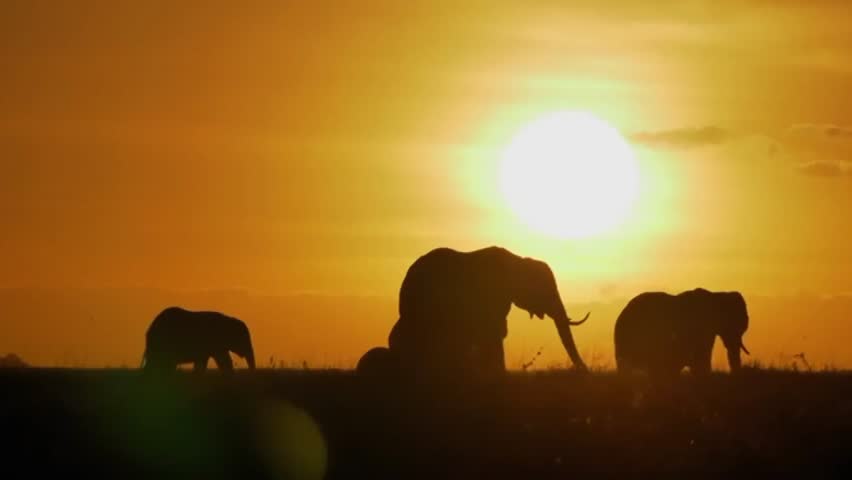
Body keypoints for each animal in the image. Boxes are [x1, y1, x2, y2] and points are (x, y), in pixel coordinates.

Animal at [357, 246, 590, 379]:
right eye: (546, 289)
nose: (585, 372)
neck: (517, 260)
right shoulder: (491, 293)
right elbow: (494, 332)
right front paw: (498, 376)